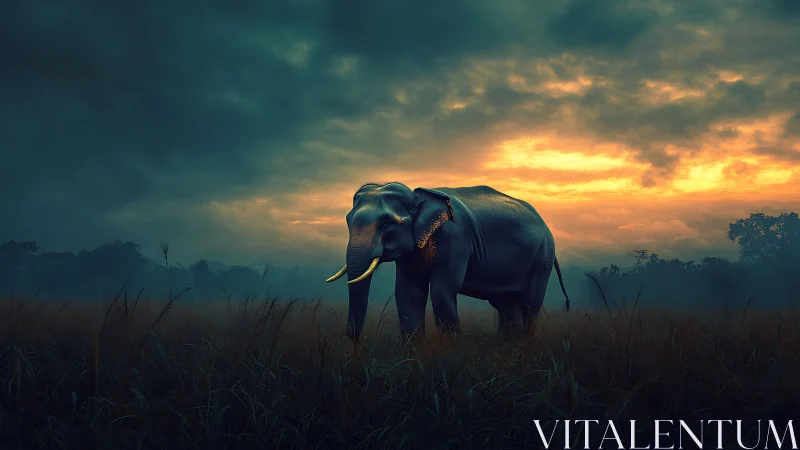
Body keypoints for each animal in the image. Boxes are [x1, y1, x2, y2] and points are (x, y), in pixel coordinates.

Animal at [325, 182, 570, 344]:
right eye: (347, 220)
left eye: (386, 224)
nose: (356, 338)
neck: (417, 195)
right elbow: (407, 293)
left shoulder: (455, 241)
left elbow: (442, 291)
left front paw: (449, 354)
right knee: (506, 305)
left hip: (541, 259)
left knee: (530, 303)